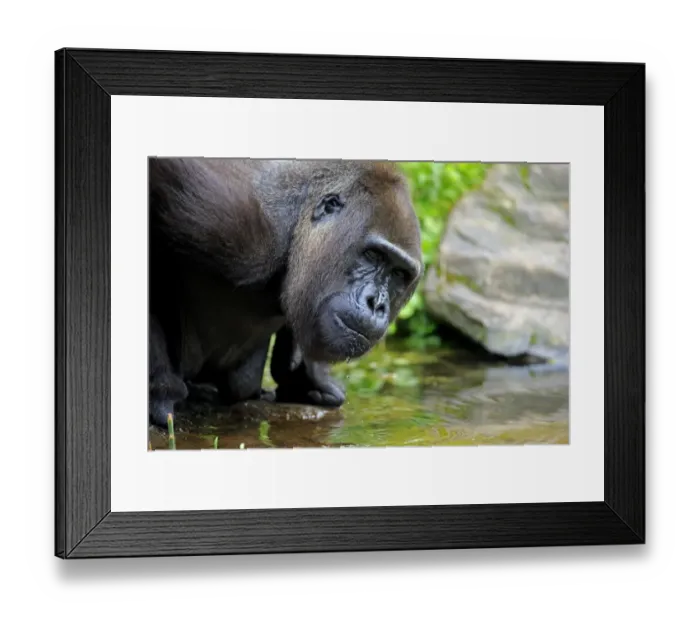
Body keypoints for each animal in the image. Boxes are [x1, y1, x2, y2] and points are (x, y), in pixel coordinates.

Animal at [148, 157, 423, 428]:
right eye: (373, 255)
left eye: (399, 274)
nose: (376, 304)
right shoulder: (231, 220)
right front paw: (162, 391)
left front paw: (305, 378)